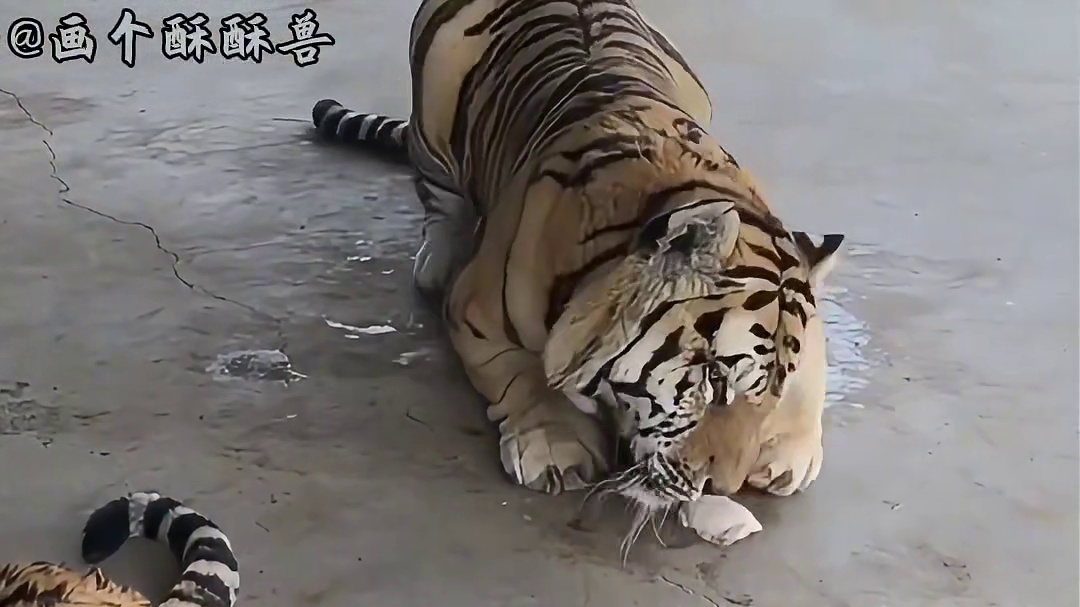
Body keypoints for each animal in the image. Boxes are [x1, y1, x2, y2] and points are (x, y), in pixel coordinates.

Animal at [308, 0, 845, 542]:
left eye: (770, 394)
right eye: (714, 379)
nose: (722, 488)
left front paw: (789, 450)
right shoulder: (475, 309)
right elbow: (527, 375)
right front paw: (556, 445)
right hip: (433, 112)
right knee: (439, 195)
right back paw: (438, 257)